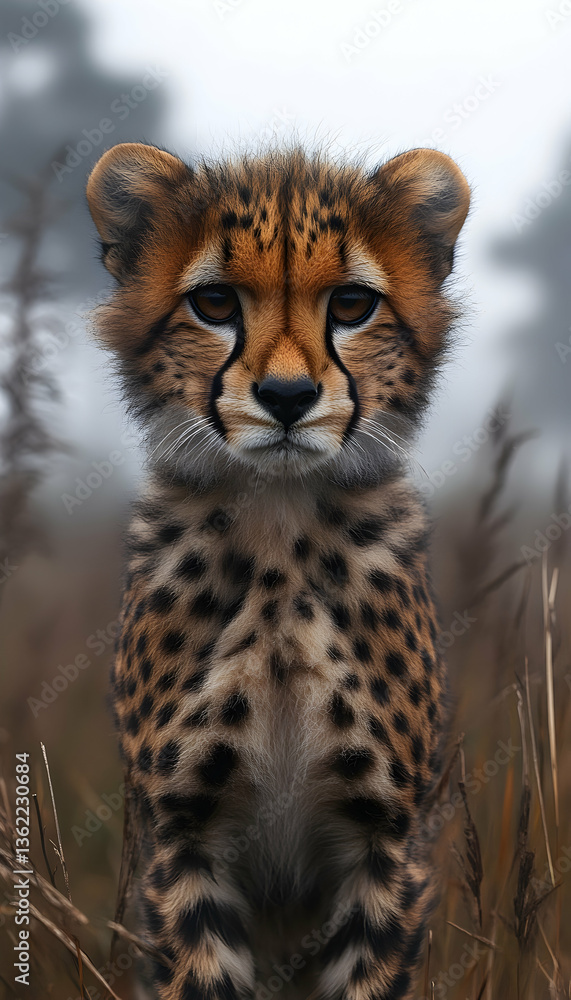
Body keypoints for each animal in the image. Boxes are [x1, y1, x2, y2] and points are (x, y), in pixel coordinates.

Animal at [86, 141, 470, 1000]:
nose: (288, 396)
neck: (279, 536)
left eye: (353, 305)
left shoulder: (385, 845)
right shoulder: (184, 840)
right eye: (215, 303)